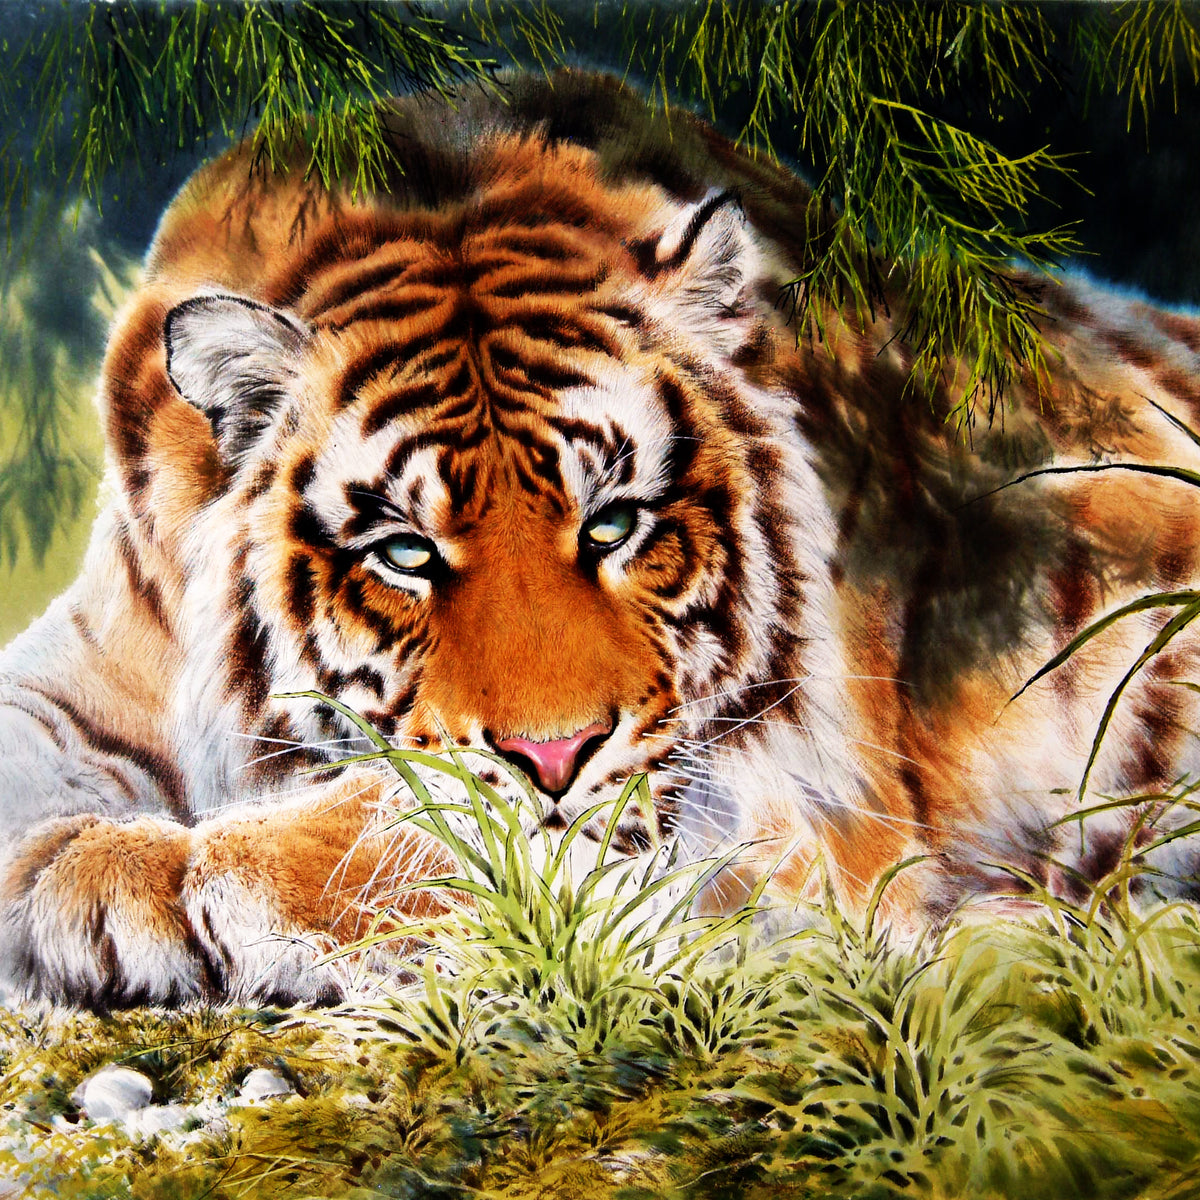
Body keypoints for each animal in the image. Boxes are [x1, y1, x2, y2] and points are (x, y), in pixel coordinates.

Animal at [3, 69, 1200, 1011]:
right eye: (404, 552)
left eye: (615, 524)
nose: (554, 755)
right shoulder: (94, 655)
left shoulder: (787, 789)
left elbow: (426, 815)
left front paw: (124, 875)